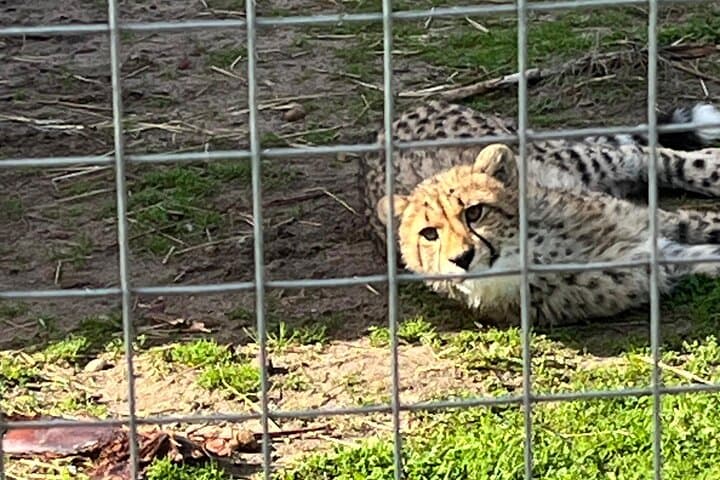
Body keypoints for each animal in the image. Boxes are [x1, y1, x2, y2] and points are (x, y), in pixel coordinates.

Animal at [359, 100, 720, 326]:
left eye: (475, 213)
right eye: (429, 234)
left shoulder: (649, 225)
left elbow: (702, 221)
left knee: (643, 155)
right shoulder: (655, 257)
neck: (536, 250)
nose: (462, 258)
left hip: (576, 159)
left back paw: (711, 166)